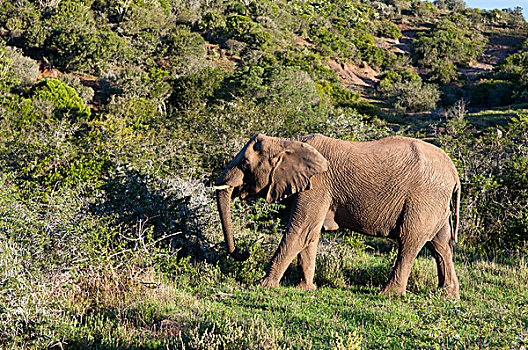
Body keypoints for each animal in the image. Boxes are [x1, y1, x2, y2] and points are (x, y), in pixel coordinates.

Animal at [212, 134, 460, 298]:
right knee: (441, 245)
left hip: (424, 198)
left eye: (245, 164)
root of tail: (455, 172)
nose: (244, 253)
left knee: (409, 242)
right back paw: (446, 295)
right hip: (435, 203)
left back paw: (388, 294)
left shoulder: (318, 185)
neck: (287, 142)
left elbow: (301, 231)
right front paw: (306, 289)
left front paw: (261, 285)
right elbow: (310, 234)